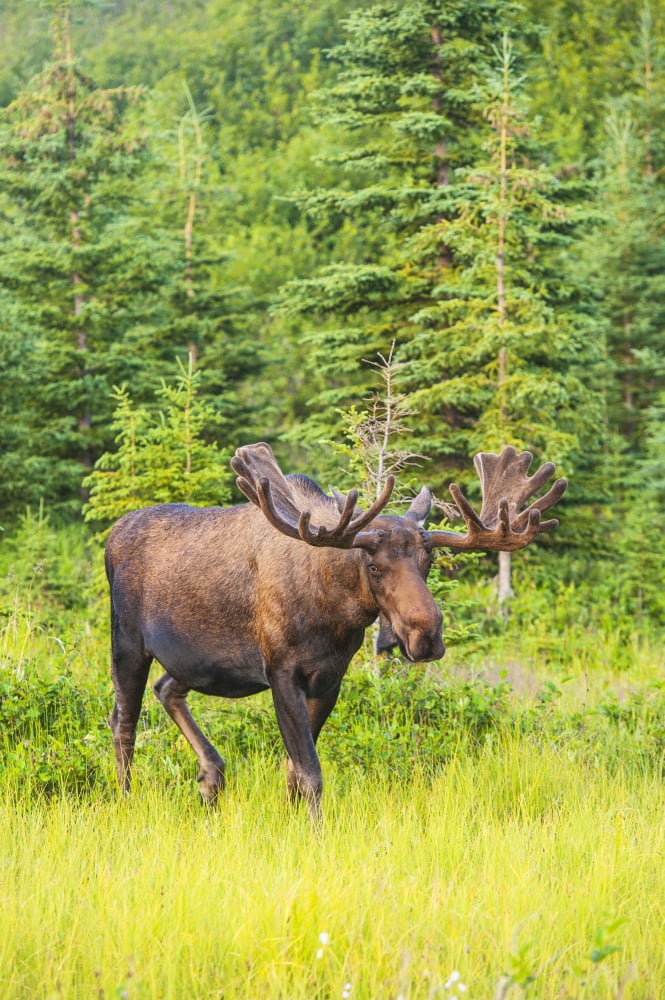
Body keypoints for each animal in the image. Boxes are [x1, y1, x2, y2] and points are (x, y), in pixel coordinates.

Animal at [105, 442, 567, 819]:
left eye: (428, 560)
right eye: (374, 565)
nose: (427, 637)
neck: (334, 615)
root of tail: (112, 533)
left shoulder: (328, 679)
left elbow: (293, 771)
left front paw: (291, 822)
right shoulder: (282, 674)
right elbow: (310, 771)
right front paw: (314, 833)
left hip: (197, 662)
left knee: (167, 689)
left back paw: (210, 780)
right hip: (128, 641)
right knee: (123, 722)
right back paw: (126, 801)